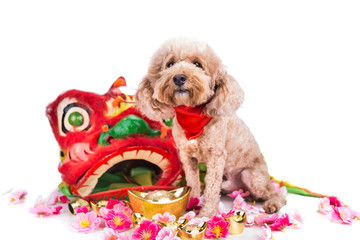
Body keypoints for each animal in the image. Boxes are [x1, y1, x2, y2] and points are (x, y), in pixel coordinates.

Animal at [136, 38, 286, 217]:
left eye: (197, 64)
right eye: (170, 64)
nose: (179, 77)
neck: (191, 115)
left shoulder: (216, 156)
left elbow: (211, 187)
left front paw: (206, 214)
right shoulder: (187, 156)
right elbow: (193, 181)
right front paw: (191, 202)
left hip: (251, 175)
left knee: (276, 194)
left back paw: (272, 203)